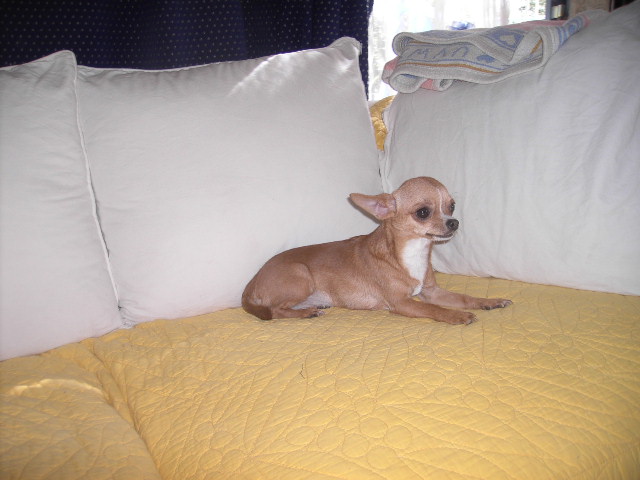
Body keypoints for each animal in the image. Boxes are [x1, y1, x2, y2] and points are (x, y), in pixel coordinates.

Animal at [242, 177, 512, 325]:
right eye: (423, 212)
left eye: (452, 206)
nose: (454, 222)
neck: (413, 253)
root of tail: (252, 281)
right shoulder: (403, 303)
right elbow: (434, 310)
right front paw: (457, 316)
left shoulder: (432, 292)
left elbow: (465, 298)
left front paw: (490, 301)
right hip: (301, 275)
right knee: (275, 311)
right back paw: (307, 313)